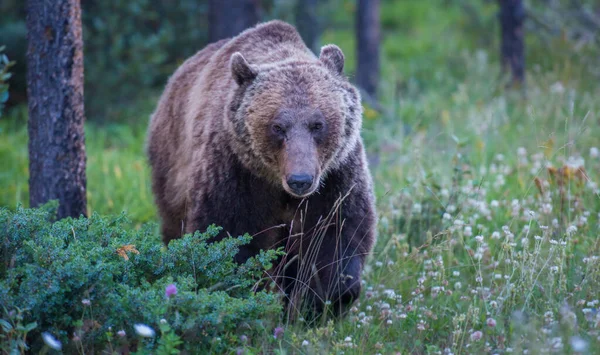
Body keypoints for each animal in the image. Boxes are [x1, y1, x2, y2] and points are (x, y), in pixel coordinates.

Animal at [146, 20, 376, 320]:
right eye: (277, 127)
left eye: (318, 124)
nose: (300, 180)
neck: (277, 185)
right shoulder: (237, 174)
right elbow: (228, 235)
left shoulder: (336, 176)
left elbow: (337, 235)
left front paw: (318, 304)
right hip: (171, 166)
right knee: (174, 225)